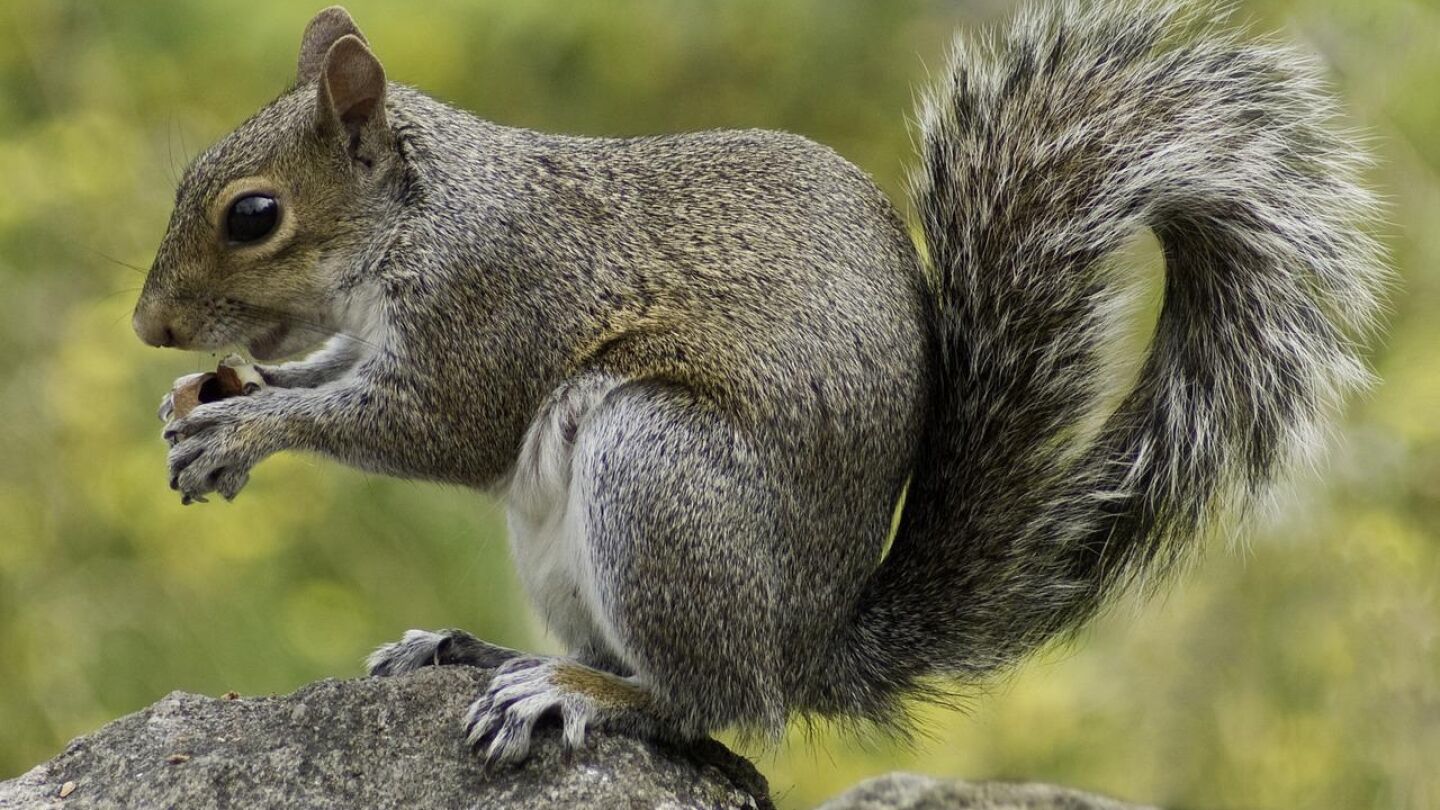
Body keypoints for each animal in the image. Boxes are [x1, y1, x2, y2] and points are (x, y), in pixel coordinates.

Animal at [132, 2, 1384, 765]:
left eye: (254, 215)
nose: (149, 326)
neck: (424, 214)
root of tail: (808, 647)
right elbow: (339, 369)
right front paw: (212, 395)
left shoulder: (498, 305)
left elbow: (435, 425)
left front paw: (246, 428)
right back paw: (479, 652)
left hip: (657, 471)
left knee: (711, 704)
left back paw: (573, 694)